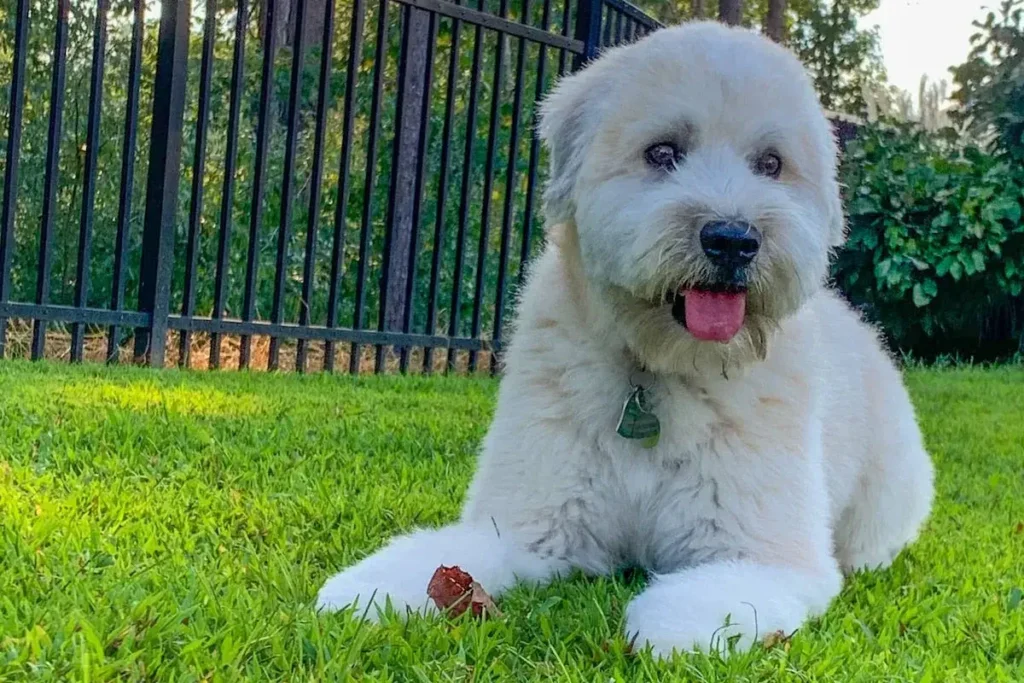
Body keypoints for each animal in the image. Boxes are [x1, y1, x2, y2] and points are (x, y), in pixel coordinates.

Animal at [319, 22, 937, 655]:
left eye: (771, 163)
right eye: (662, 152)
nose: (732, 240)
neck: (659, 371)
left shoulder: (763, 554)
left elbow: (707, 597)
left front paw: (672, 625)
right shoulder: (529, 524)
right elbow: (451, 555)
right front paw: (368, 589)